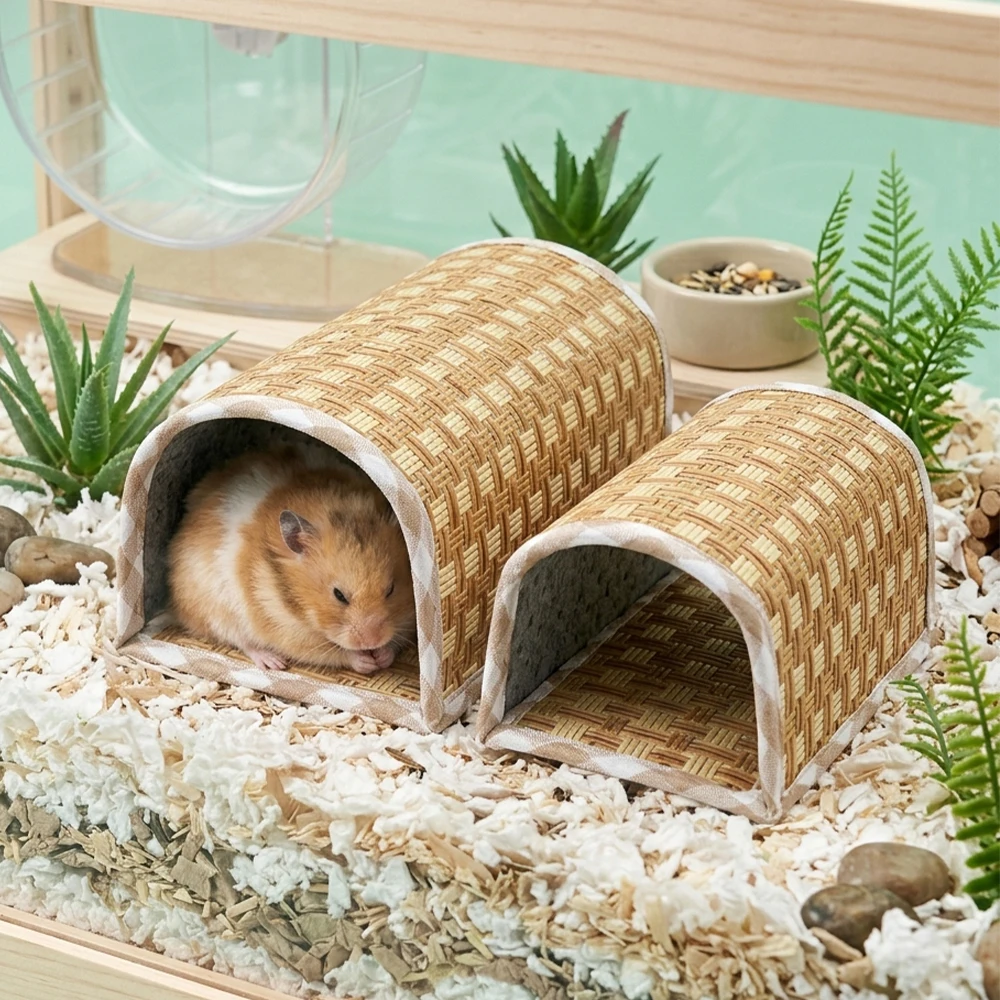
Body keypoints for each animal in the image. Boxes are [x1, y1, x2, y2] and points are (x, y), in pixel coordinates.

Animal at [166, 445, 416, 675]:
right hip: (217, 611)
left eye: (391, 590)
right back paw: (272, 662)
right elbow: (330, 652)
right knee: (242, 641)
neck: (298, 607)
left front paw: (382, 656)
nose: (373, 641)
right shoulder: (287, 629)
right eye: (339, 595)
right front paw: (366, 661)